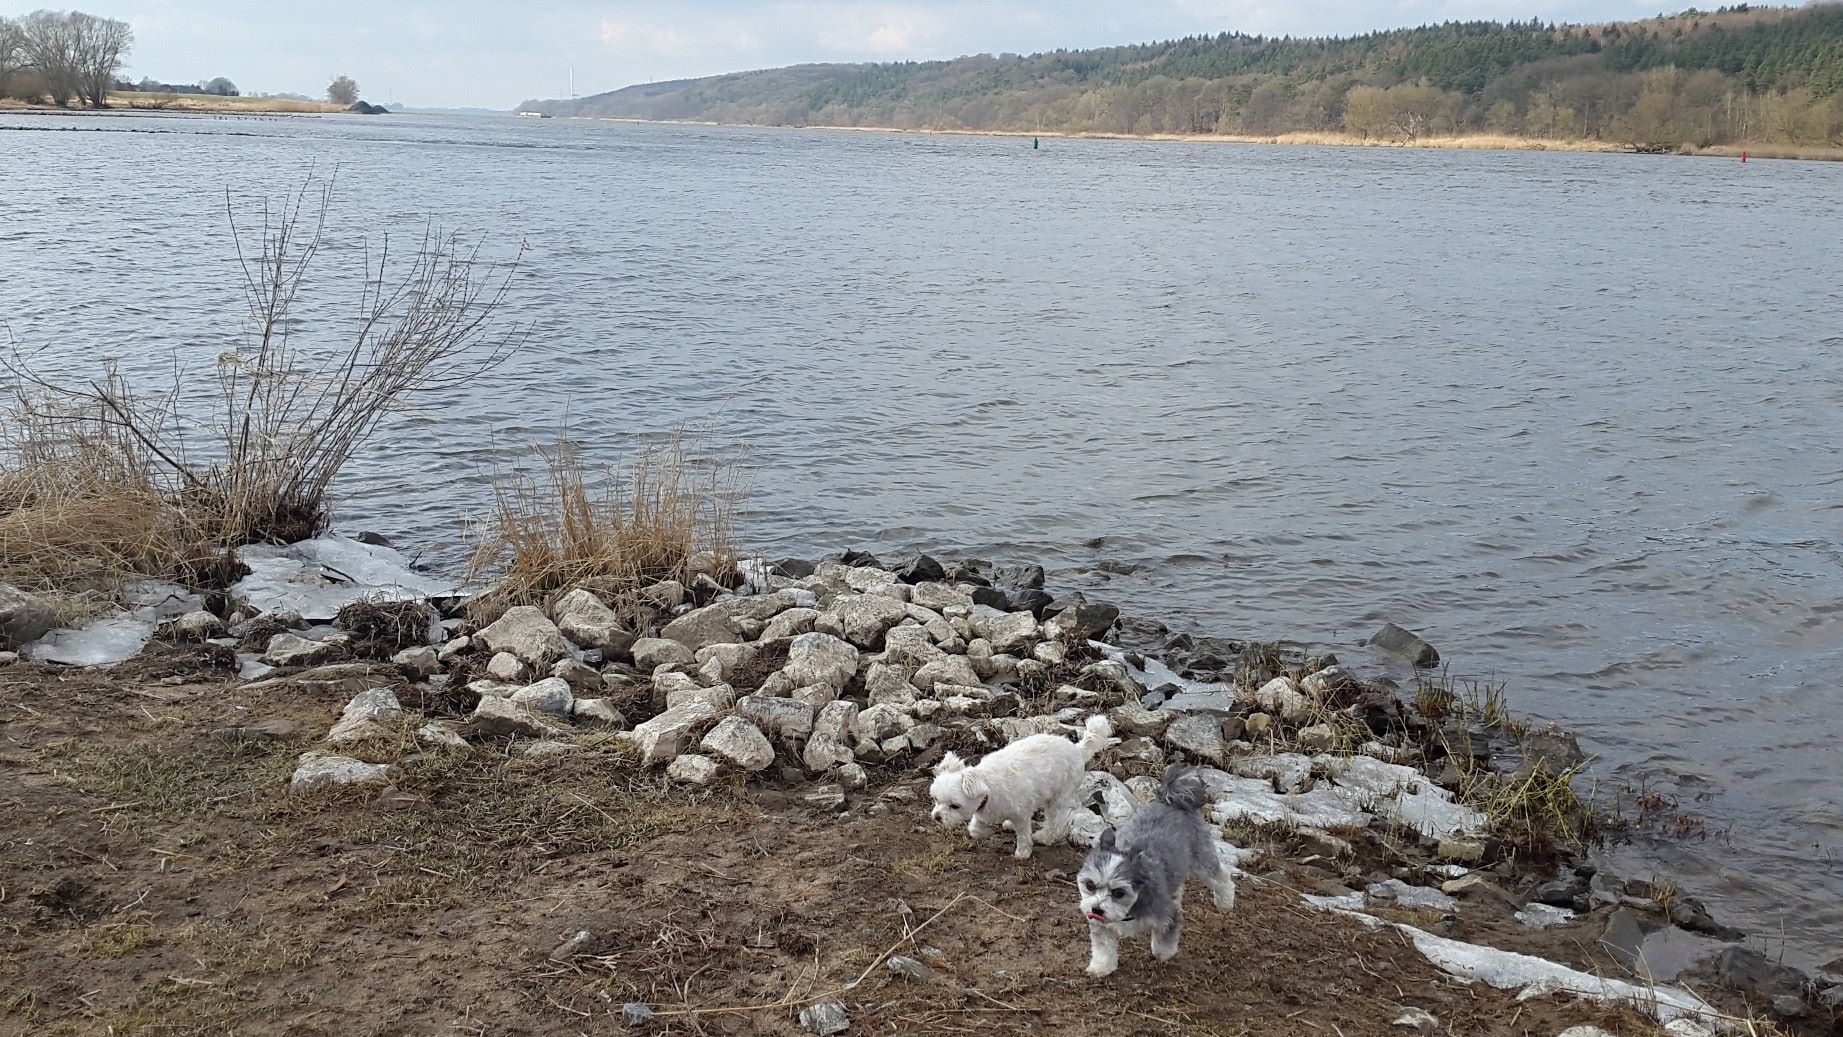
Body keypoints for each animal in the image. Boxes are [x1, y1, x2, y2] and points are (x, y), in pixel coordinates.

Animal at [930, 715, 1112, 860]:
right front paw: (985, 832)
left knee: (1055, 823)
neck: (988, 785)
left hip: (1058, 797)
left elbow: (1024, 834)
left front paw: (1023, 852)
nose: (937, 817)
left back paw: (1043, 837)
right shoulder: (983, 809)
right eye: (936, 800)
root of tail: (1077, 749)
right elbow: (974, 829)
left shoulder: (1021, 814)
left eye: (954, 806)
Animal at [1076, 765, 1235, 977]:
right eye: (1090, 885)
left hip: (1202, 859)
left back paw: (1225, 902)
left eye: (1119, 892)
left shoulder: (1168, 913)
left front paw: (1163, 953)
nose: (1096, 909)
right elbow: (1104, 947)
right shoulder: (1102, 926)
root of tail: (1171, 799)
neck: (1130, 907)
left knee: (1222, 878)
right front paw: (1101, 966)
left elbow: (1165, 938)